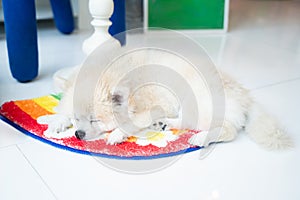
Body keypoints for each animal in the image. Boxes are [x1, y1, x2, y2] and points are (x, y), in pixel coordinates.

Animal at [43, 49, 294, 151]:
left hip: (197, 102)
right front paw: (56, 122)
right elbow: (61, 112)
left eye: (95, 121)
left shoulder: (151, 106)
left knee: (226, 130)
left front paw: (116, 134)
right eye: (77, 119)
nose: (78, 134)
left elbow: (130, 123)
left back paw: (200, 138)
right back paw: (163, 124)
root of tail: (245, 96)